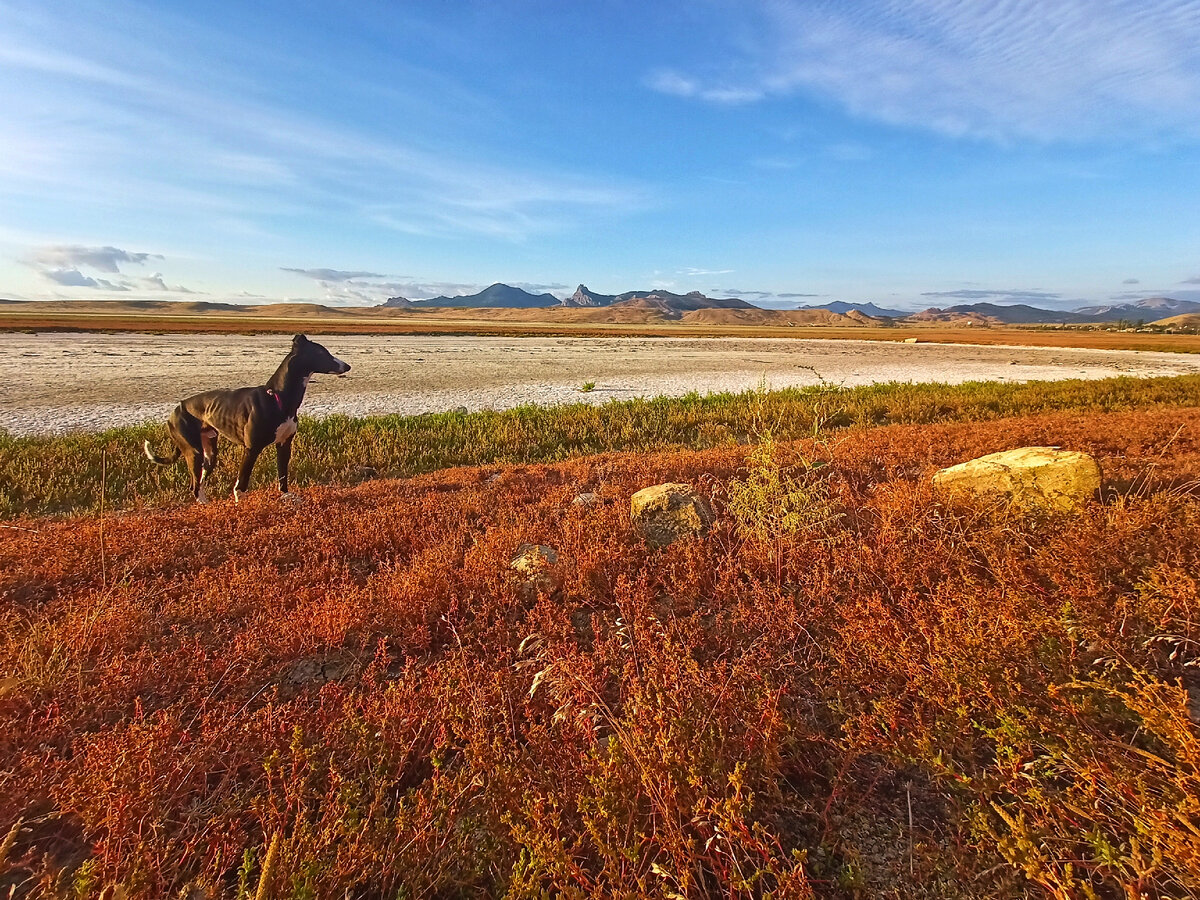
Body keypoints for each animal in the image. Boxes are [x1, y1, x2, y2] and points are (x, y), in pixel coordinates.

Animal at [144, 333, 350, 501]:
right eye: (321, 352)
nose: (347, 366)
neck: (277, 397)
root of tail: (175, 411)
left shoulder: (284, 444)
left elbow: (282, 476)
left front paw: (287, 497)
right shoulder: (251, 449)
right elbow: (241, 484)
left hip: (209, 453)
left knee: (199, 481)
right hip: (193, 451)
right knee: (194, 486)